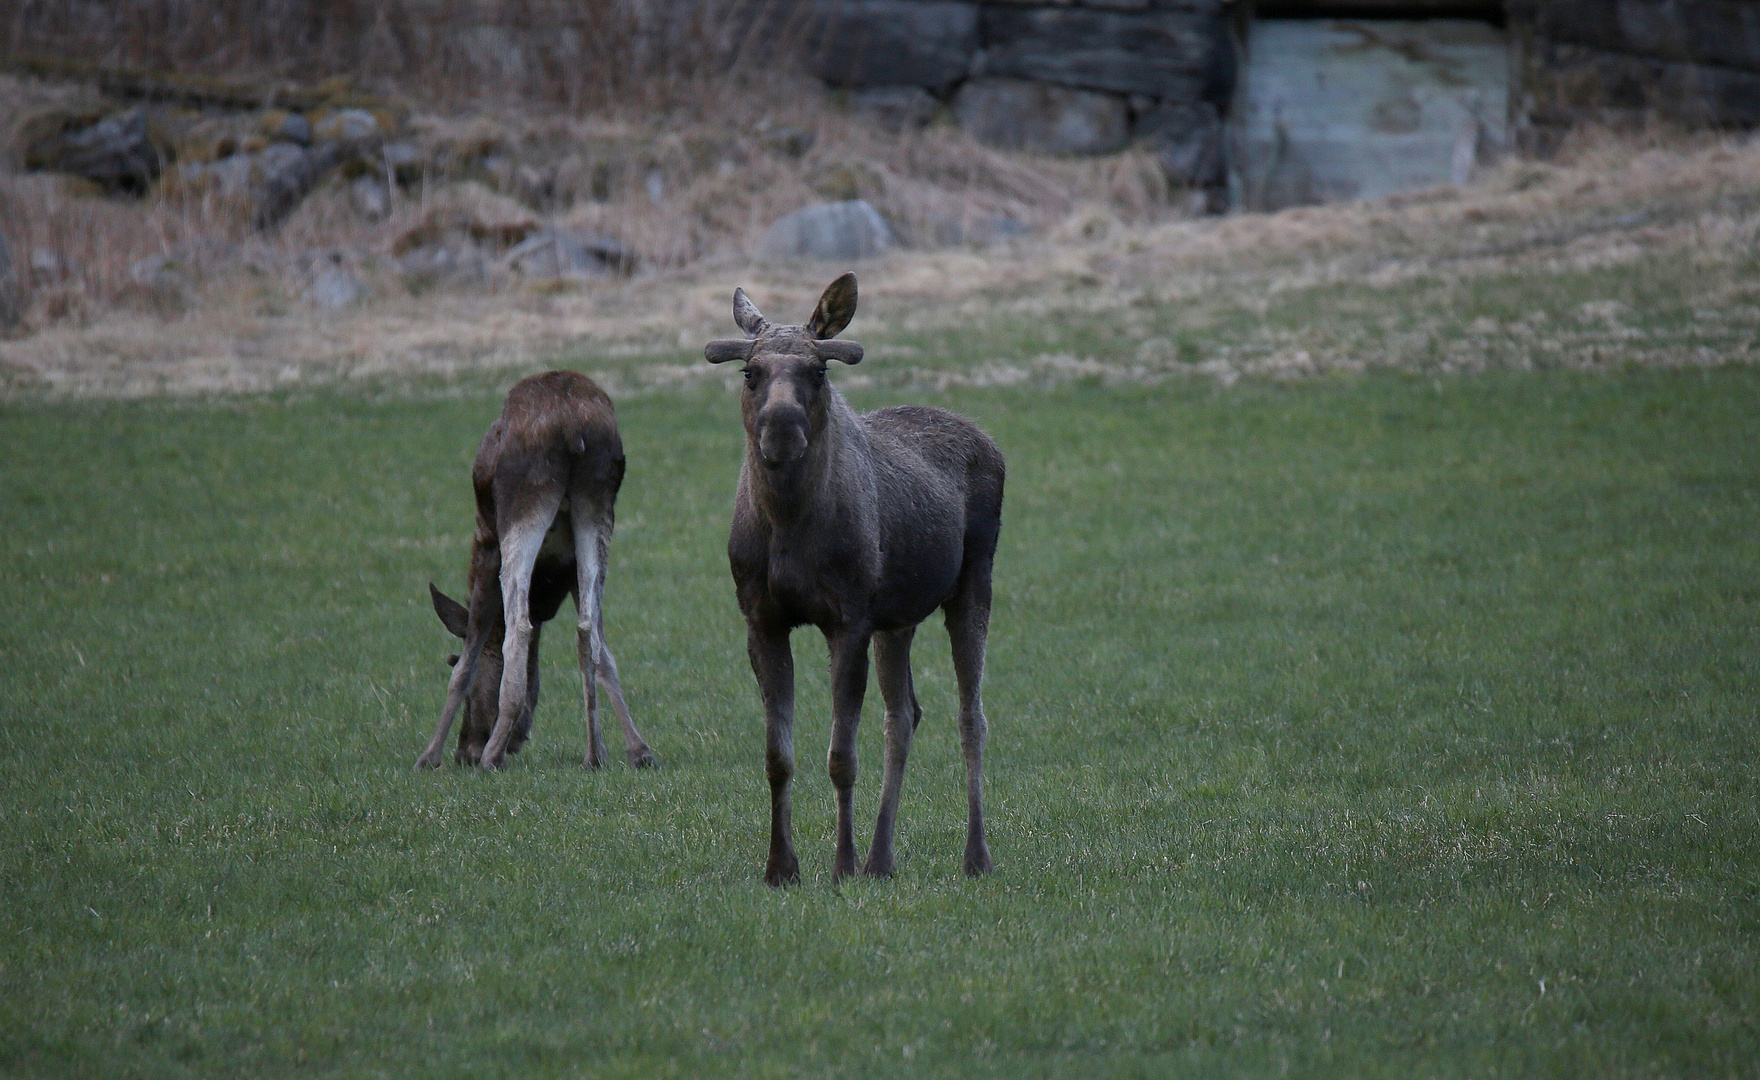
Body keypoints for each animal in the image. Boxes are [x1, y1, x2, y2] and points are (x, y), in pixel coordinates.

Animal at [415, 374, 658, 777]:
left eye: (472, 703)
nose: (465, 750)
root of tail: (572, 427)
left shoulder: (487, 545)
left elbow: (468, 659)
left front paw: (429, 756)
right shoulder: (570, 570)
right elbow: (604, 654)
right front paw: (637, 750)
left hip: (521, 509)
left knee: (520, 627)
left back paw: (492, 756)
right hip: (597, 508)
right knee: (586, 629)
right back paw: (594, 753)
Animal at [704, 274, 1006, 882]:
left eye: (818, 372)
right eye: (750, 371)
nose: (781, 430)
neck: (788, 523)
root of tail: (989, 441)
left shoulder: (848, 619)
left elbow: (841, 757)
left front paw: (841, 863)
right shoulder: (763, 621)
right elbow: (778, 756)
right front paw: (781, 867)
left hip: (971, 584)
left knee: (971, 717)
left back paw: (974, 856)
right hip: (897, 619)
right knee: (904, 715)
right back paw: (881, 858)